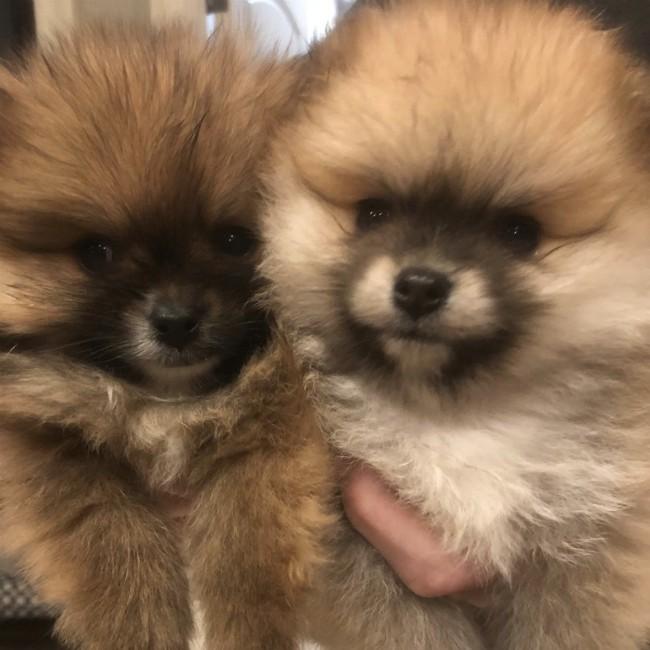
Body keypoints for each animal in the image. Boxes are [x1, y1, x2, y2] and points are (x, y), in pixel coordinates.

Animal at [261, 1, 650, 648]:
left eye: (519, 232)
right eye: (373, 213)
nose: (420, 285)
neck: (453, 417)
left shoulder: (587, 546)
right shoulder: (357, 550)